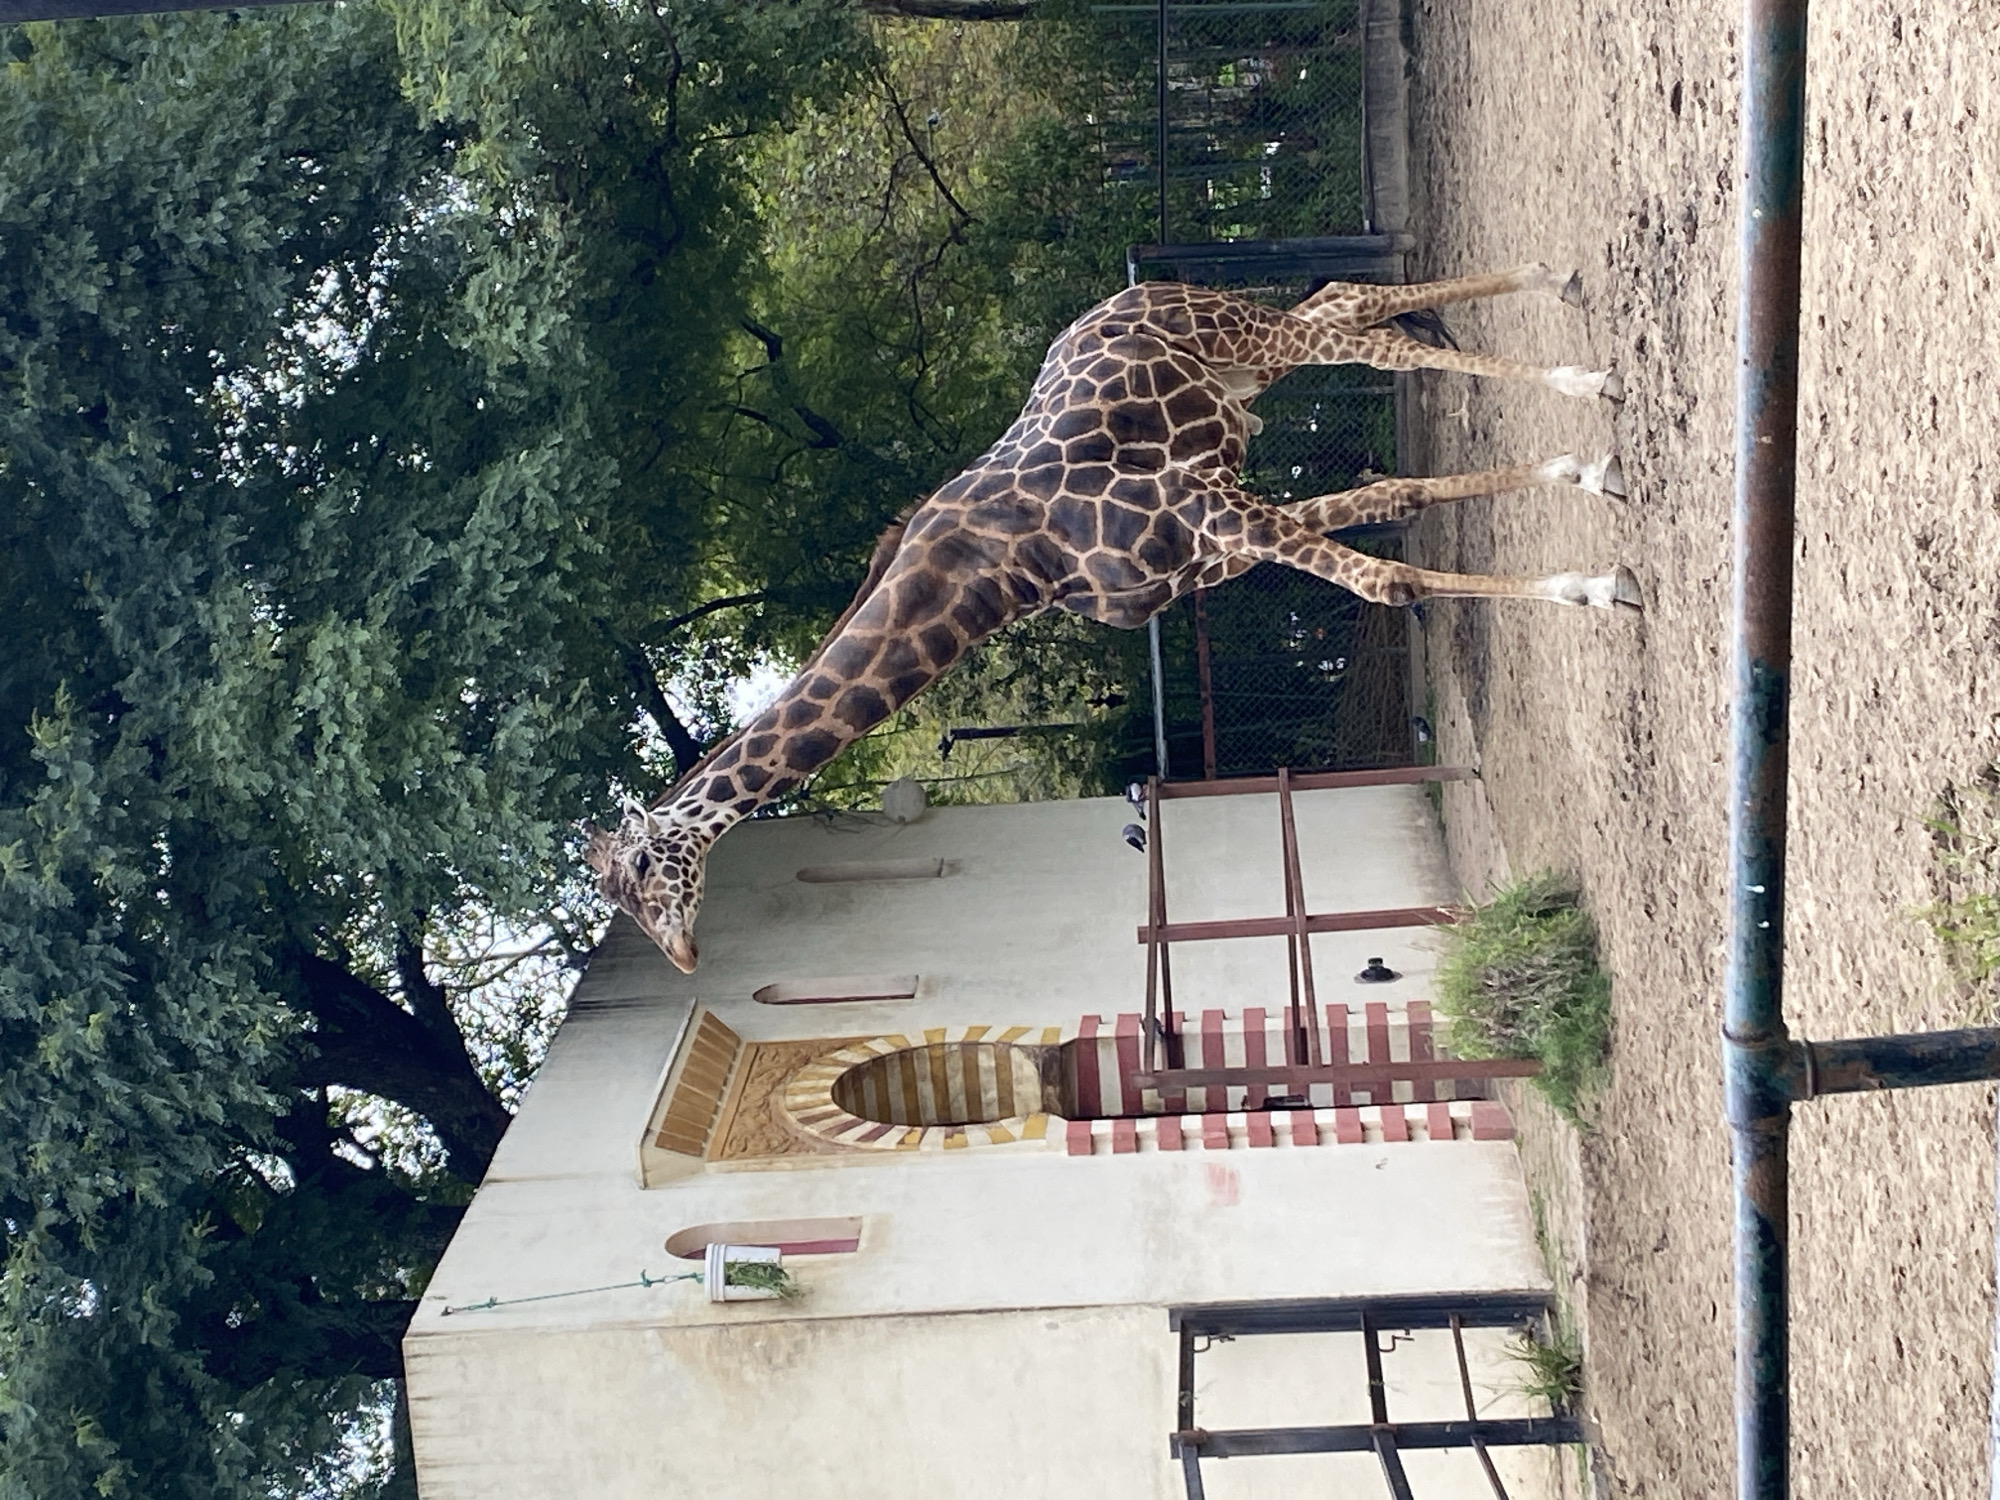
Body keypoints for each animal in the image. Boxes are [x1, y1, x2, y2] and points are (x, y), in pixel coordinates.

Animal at [588, 265, 1635, 971]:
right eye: (618, 900)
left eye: (639, 866)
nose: (682, 957)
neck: (1010, 570)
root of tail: (1137, 290)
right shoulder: (1213, 543)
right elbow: (1395, 499)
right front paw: (1572, 478)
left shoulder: (1213, 508)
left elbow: (1390, 582)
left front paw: (1592, 582)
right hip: (1242, 369)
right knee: (1344, 300)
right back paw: (1559, 314)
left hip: (1246, 340)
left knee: (1360, 328)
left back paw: (1580, 363)